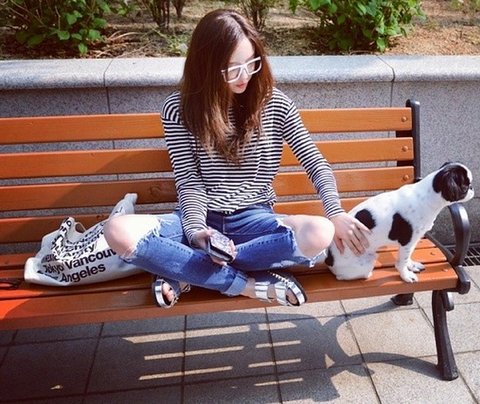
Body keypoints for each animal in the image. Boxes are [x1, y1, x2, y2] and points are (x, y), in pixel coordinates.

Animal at [326, 162, 474, 283]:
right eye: (465, 186)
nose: (472, 188)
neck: (427, 196)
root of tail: (329, 259)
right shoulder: (407, 241)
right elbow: (402, 262)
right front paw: (406, 276)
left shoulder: (412, 242)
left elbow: (407, 257)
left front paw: (411, 265)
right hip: (366, 263)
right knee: (343, 276)